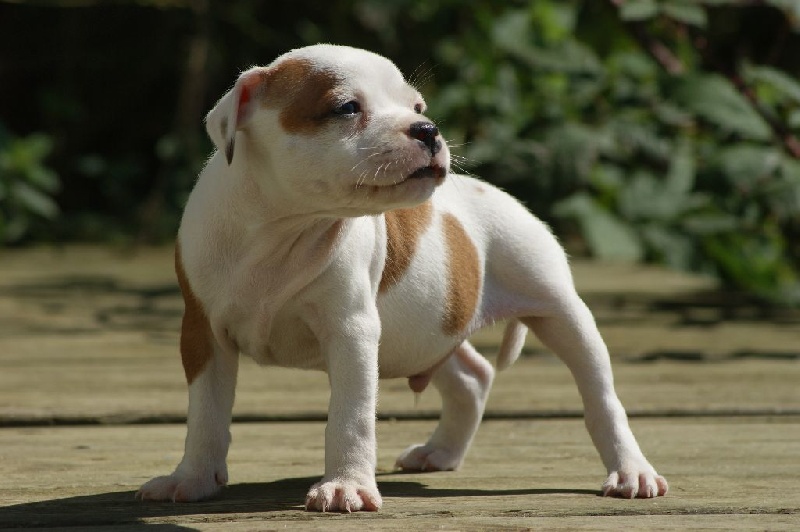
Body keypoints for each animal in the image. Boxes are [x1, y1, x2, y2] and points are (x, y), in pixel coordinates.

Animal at [137, 44, 668, 512]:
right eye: (347, 107)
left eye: (417, 107)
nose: (428, 129)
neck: (283, 226)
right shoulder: (203, 332)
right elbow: (206, 413)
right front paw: (191, 479)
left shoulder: (351, 332)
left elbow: (350, 416)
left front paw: (346, 486)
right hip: (427, 330)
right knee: (473, 375)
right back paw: (441, 452)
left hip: (559, 310)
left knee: (601, 397)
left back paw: (631, 471)